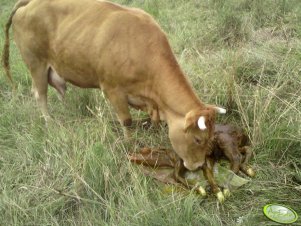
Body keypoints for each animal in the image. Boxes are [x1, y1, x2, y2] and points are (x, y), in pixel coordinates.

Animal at [2, 0, 225, 198]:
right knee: (40, 95)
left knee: (59, 90)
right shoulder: (112, 89)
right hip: (36, 64)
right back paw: (50, 122)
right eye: (197, 139)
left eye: (211, 138)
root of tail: (29, 3)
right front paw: (130, 144)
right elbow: (126, 121)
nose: (198, 165)